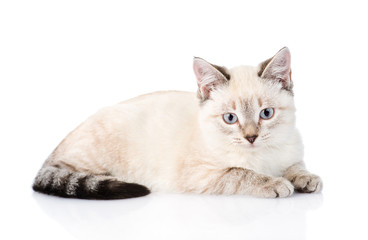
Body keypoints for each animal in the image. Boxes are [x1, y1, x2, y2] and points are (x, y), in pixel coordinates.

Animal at [33, 47, 322, 199]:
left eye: (266, 114)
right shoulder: (204, 175)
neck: (263, 157)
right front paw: (275, 184)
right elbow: (241, 173)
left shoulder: (291, 154)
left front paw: (307, 179)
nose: (251, 137)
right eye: (230, 118)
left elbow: (296, 167)